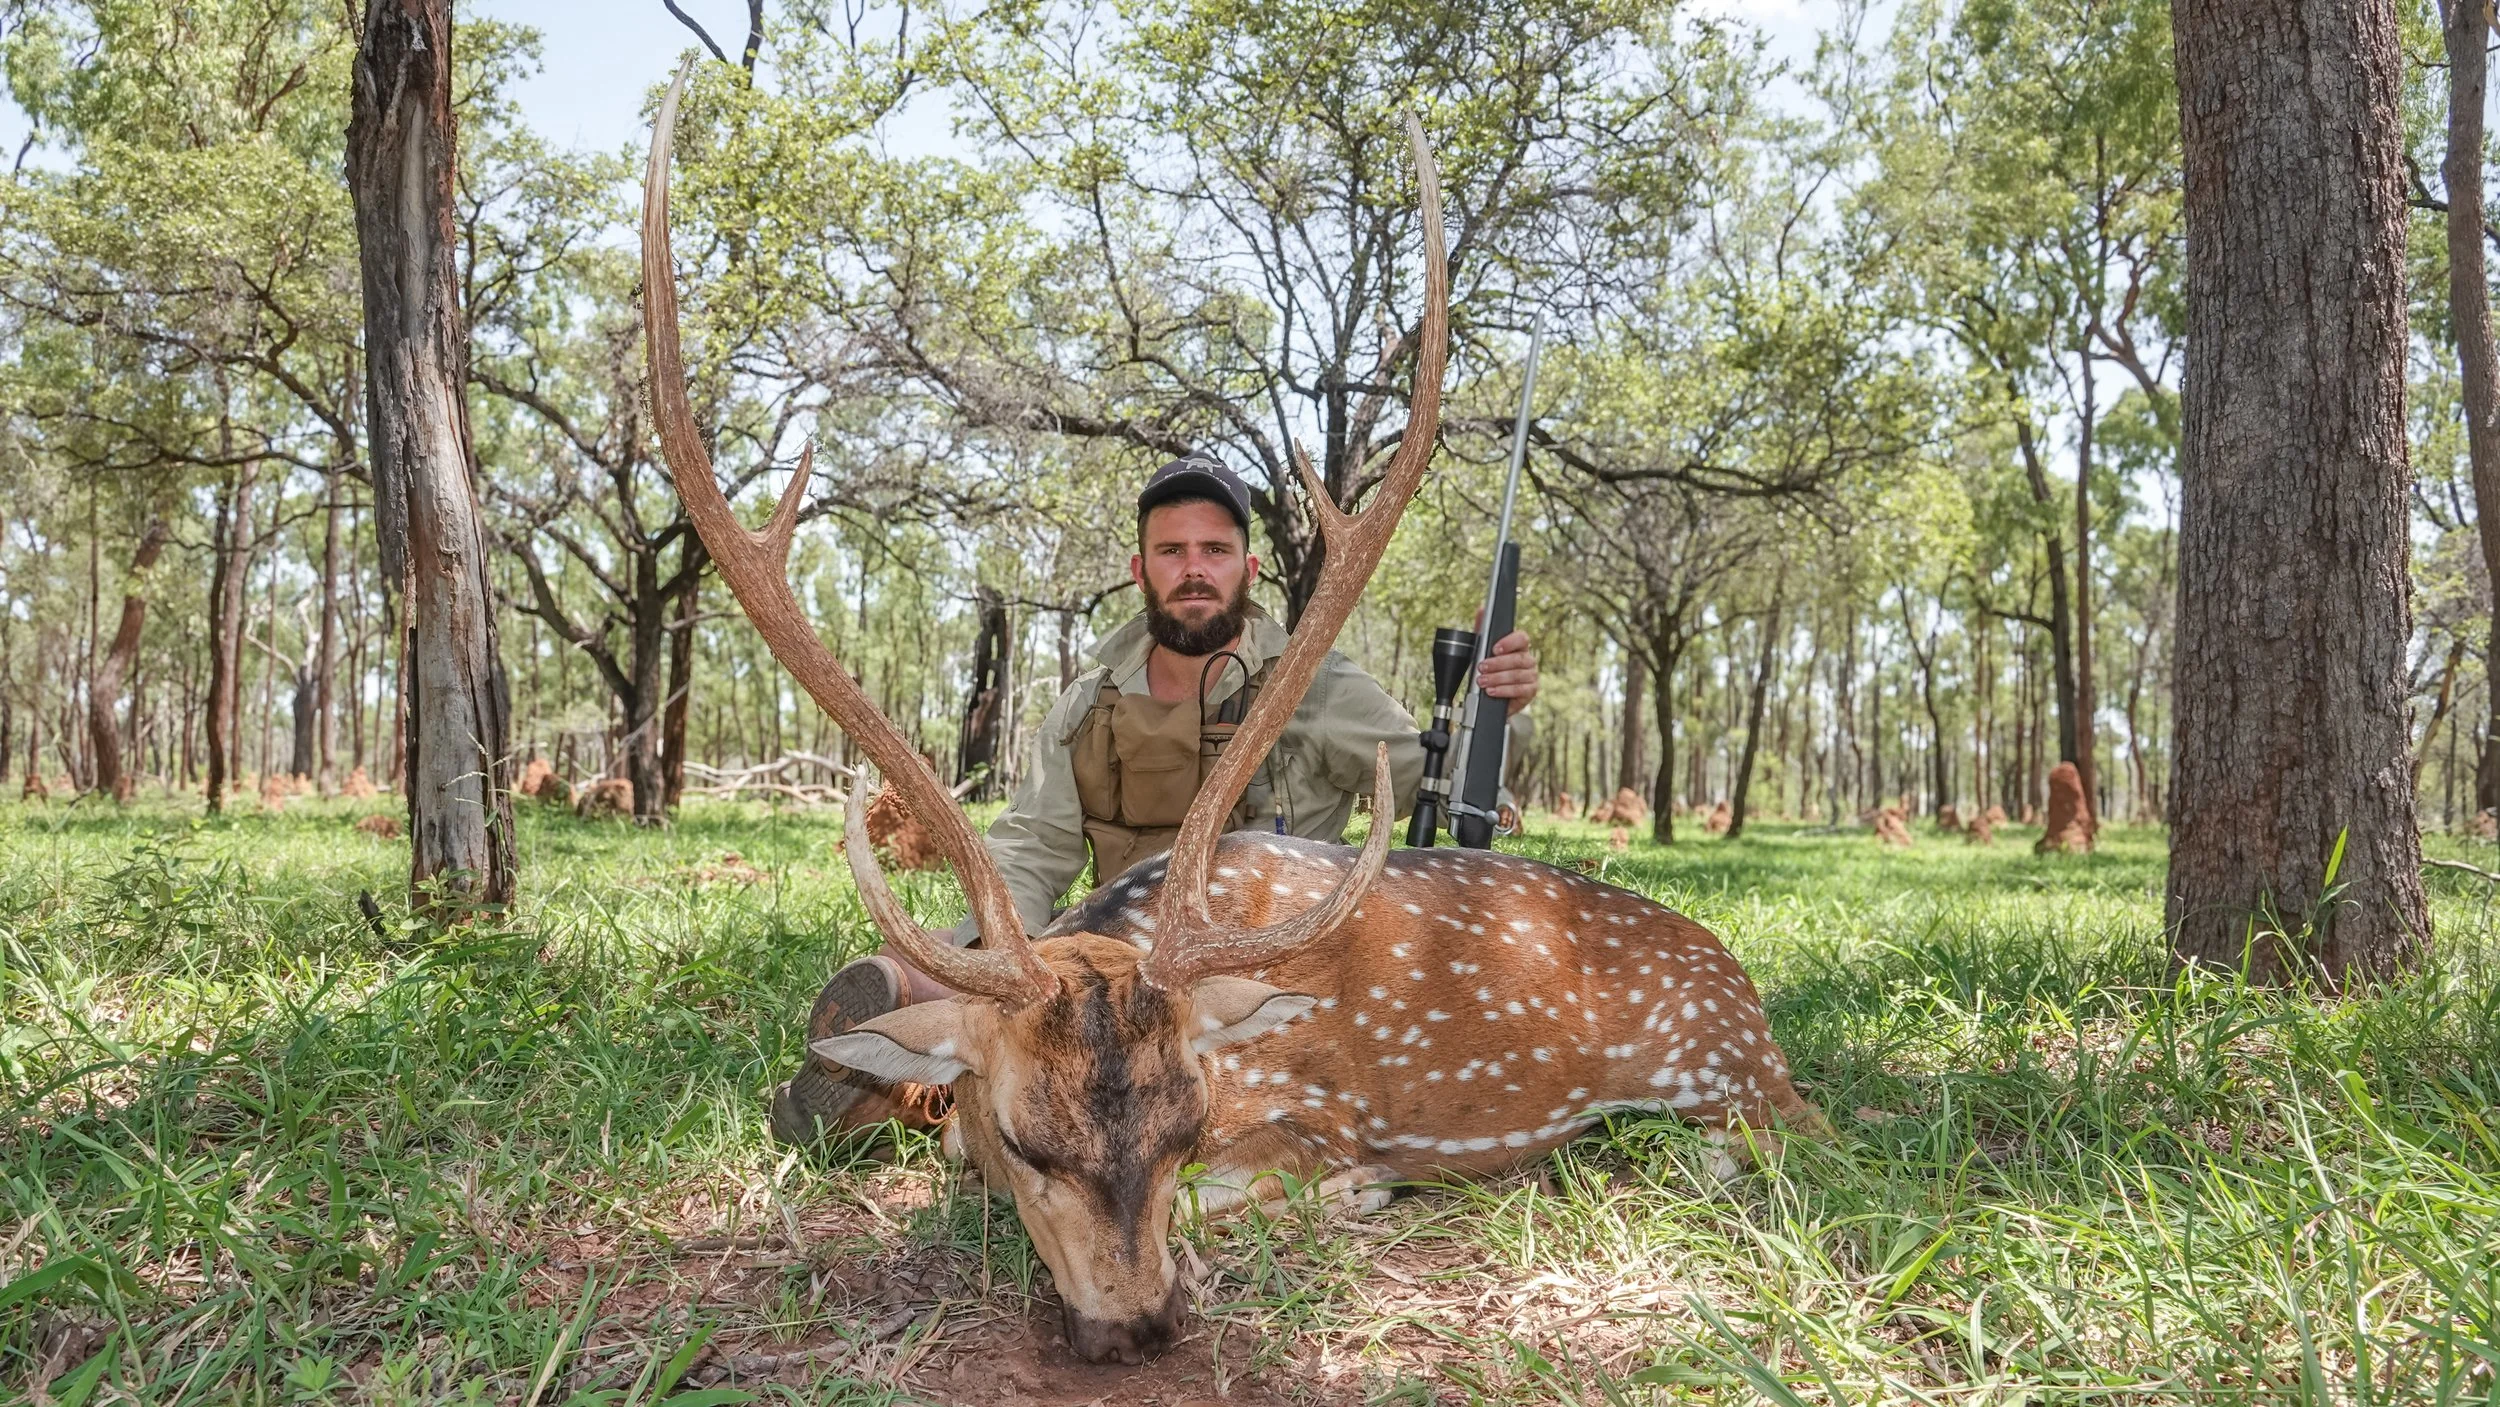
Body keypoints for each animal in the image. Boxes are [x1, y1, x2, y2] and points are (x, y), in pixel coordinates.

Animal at [643, 66, 1819, 1366]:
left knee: (1782, 1138)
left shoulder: (1305, 1111)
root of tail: (1745, 987)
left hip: (1721, 1069)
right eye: (1028, 1140)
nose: (1139, 1324)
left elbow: (1282, 1180)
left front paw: (1355, 1195)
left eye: (1186, 1123)